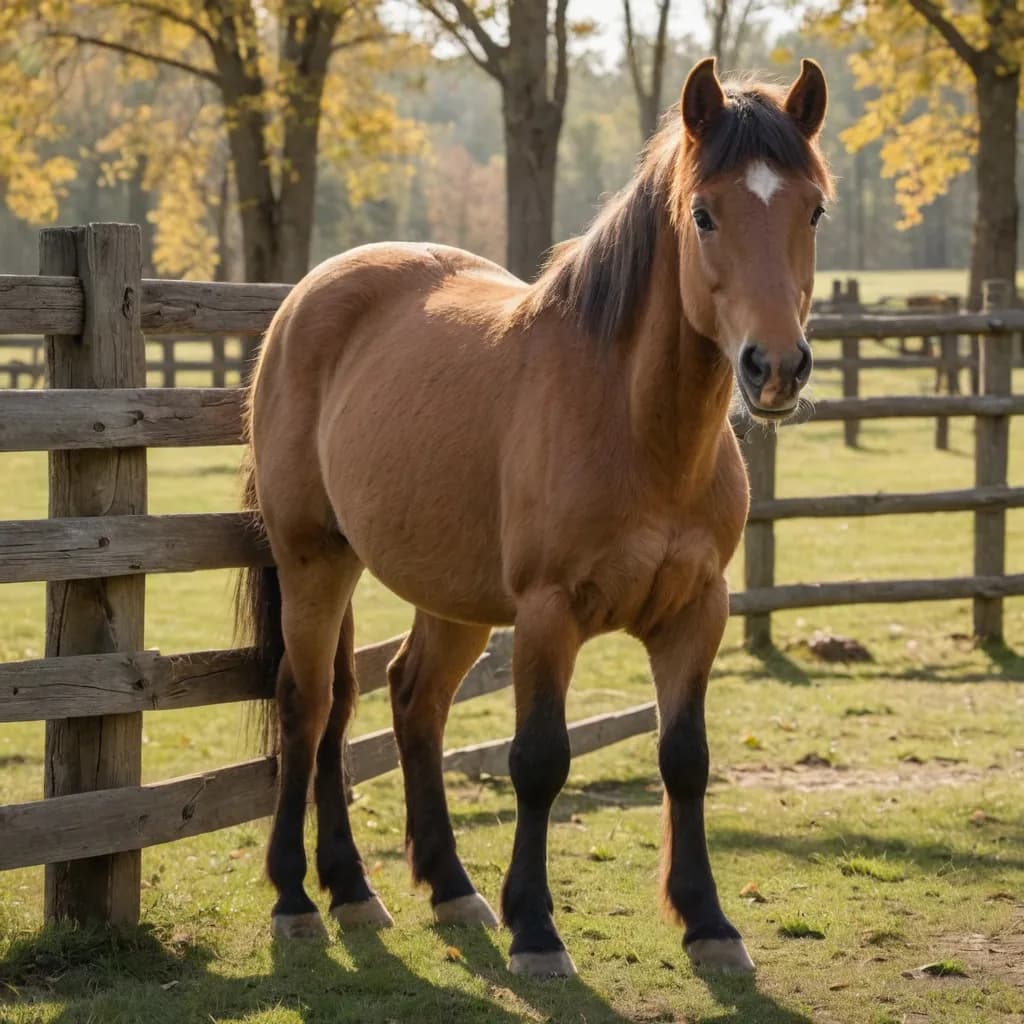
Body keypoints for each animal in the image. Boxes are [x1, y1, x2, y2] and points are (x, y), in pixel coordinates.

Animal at [236, 56, 832, 978]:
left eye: (813, 208)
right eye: (704, 212)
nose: (775, 369)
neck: (634, 425)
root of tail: (303, 300)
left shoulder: (698, 612)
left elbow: (685, 759)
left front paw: (708, 922)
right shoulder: (549, 614)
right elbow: (539, 761)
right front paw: (538, 930)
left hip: (443, 591)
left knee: (399, 699)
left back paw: (409, 888)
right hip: (315, 560)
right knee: (308, 705)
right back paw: (300, 898)